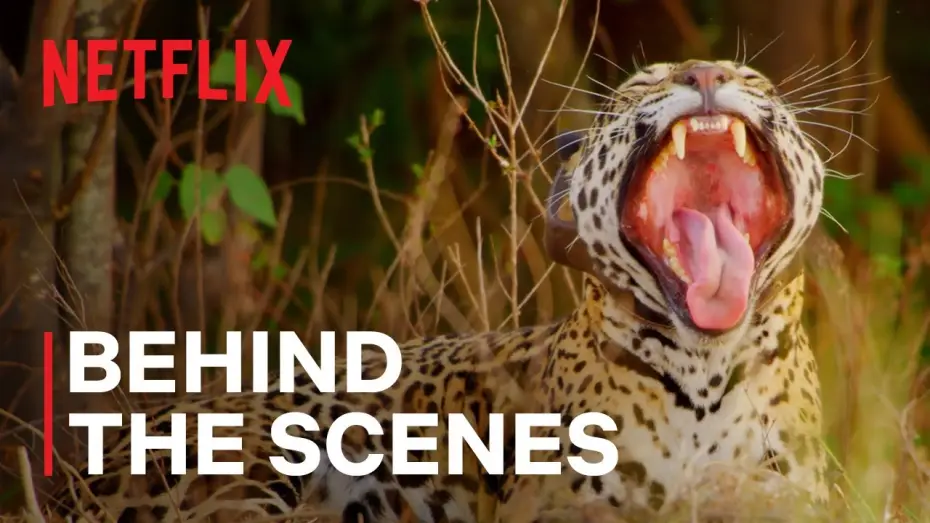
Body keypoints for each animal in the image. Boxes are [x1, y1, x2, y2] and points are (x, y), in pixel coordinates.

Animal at [46, 58, 830, 523]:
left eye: (754, 78)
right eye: (641, 84)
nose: (706, 70)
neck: (704, 370)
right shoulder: (555, 508)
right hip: (246, 466)